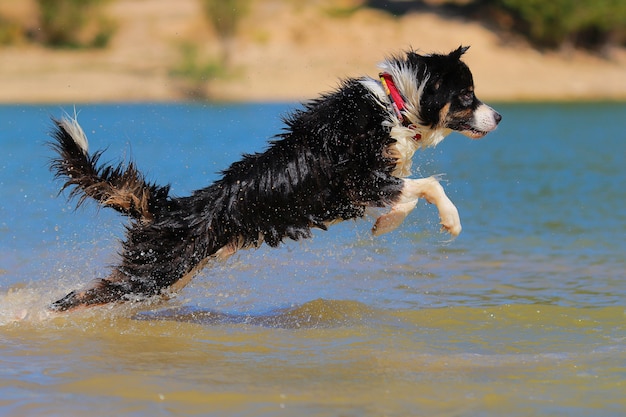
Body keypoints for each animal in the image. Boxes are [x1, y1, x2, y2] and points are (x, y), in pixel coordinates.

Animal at [47, 47, 498, 310]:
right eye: (467, 96)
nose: (498, 116)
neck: (397, 106)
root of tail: (171, 209)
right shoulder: (358, 182)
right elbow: (427, 186)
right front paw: (446, 222)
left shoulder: (366, 188)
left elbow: (411, 192)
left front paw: (387, 222)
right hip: (158, 270)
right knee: (78, 296)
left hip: (170, 276)